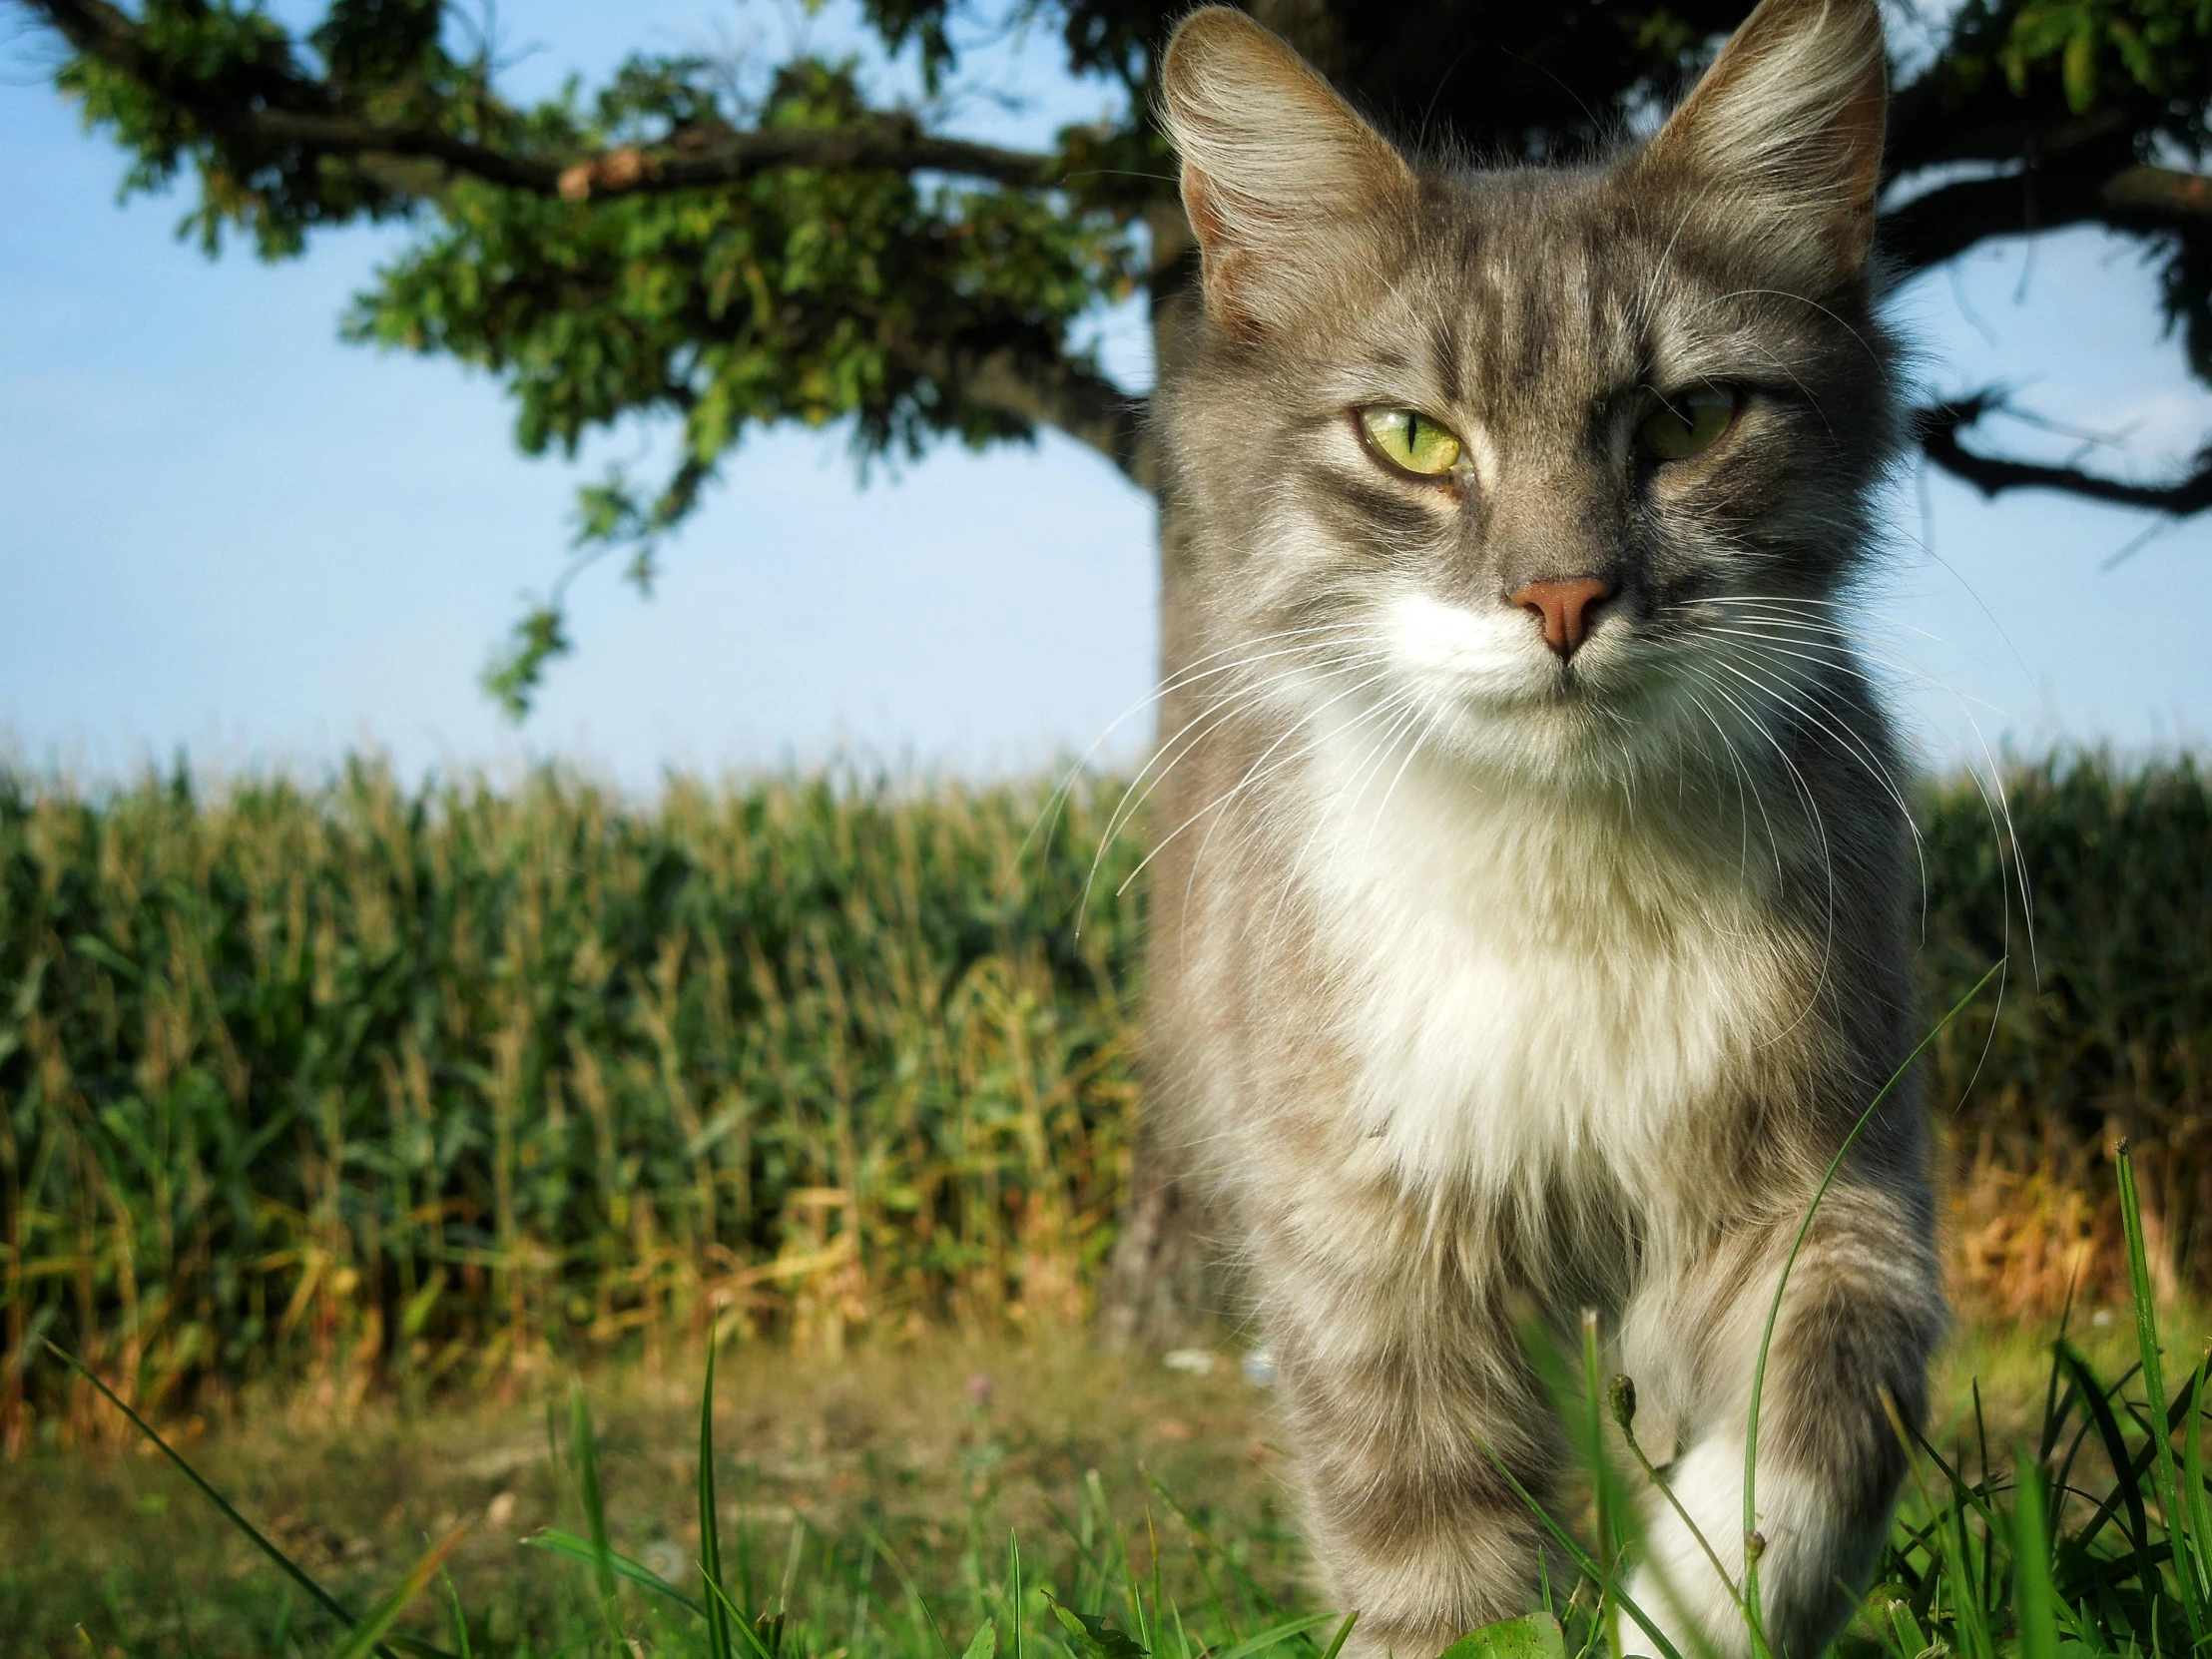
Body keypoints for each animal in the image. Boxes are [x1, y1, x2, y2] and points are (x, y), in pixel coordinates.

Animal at [1150, 3, 1946, 1659]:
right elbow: (1430, 1555)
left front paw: (1691, 1603)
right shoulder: (1365, 1252)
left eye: (1689, 418)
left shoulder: (1824, 1181)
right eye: (1411, 439)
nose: (1565, 596)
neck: (1557, 862)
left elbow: (1829, 1409)